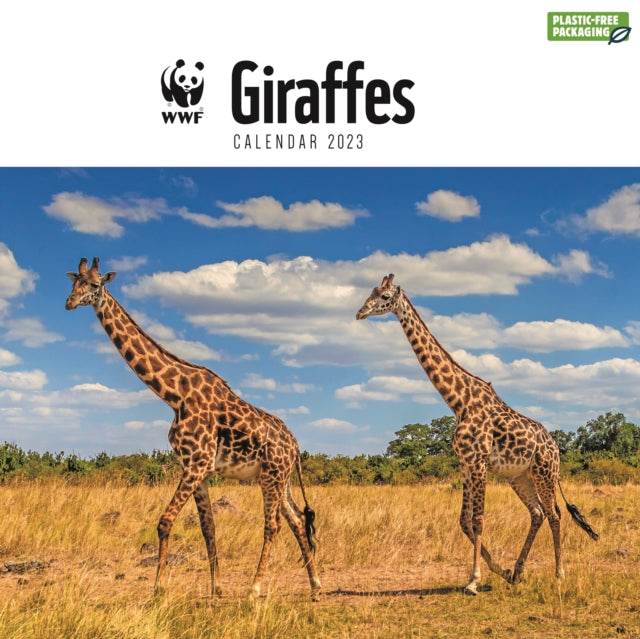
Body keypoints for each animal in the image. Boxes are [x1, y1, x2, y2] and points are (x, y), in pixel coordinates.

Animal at [65, 257, 321, 601]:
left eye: (94, 285)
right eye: (73, 282)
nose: (69, 302)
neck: (175, 395)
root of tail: (295, 446)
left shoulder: (197, 464)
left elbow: (165, 521)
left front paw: (158, 588)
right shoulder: (197, 468)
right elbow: (207, 527)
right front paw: (216, 588)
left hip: (271, 478)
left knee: (274, 525)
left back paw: (254, 589)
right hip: (281, 479)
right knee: (296, 520)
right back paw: (315, 585)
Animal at [356, 274, 598, 595]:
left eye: (384, 296)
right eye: (371, 291)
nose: (359, 313)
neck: (458, 401)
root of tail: (556, 447)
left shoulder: (479, 462)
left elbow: (479, 520)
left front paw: (473, 580)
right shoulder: (466, 464)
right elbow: (464, 521)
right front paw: (501, 571)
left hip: (544, 472)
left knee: (554, 514)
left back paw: (559, 573)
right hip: (518, 476)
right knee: (537, 513)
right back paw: (517, 572)